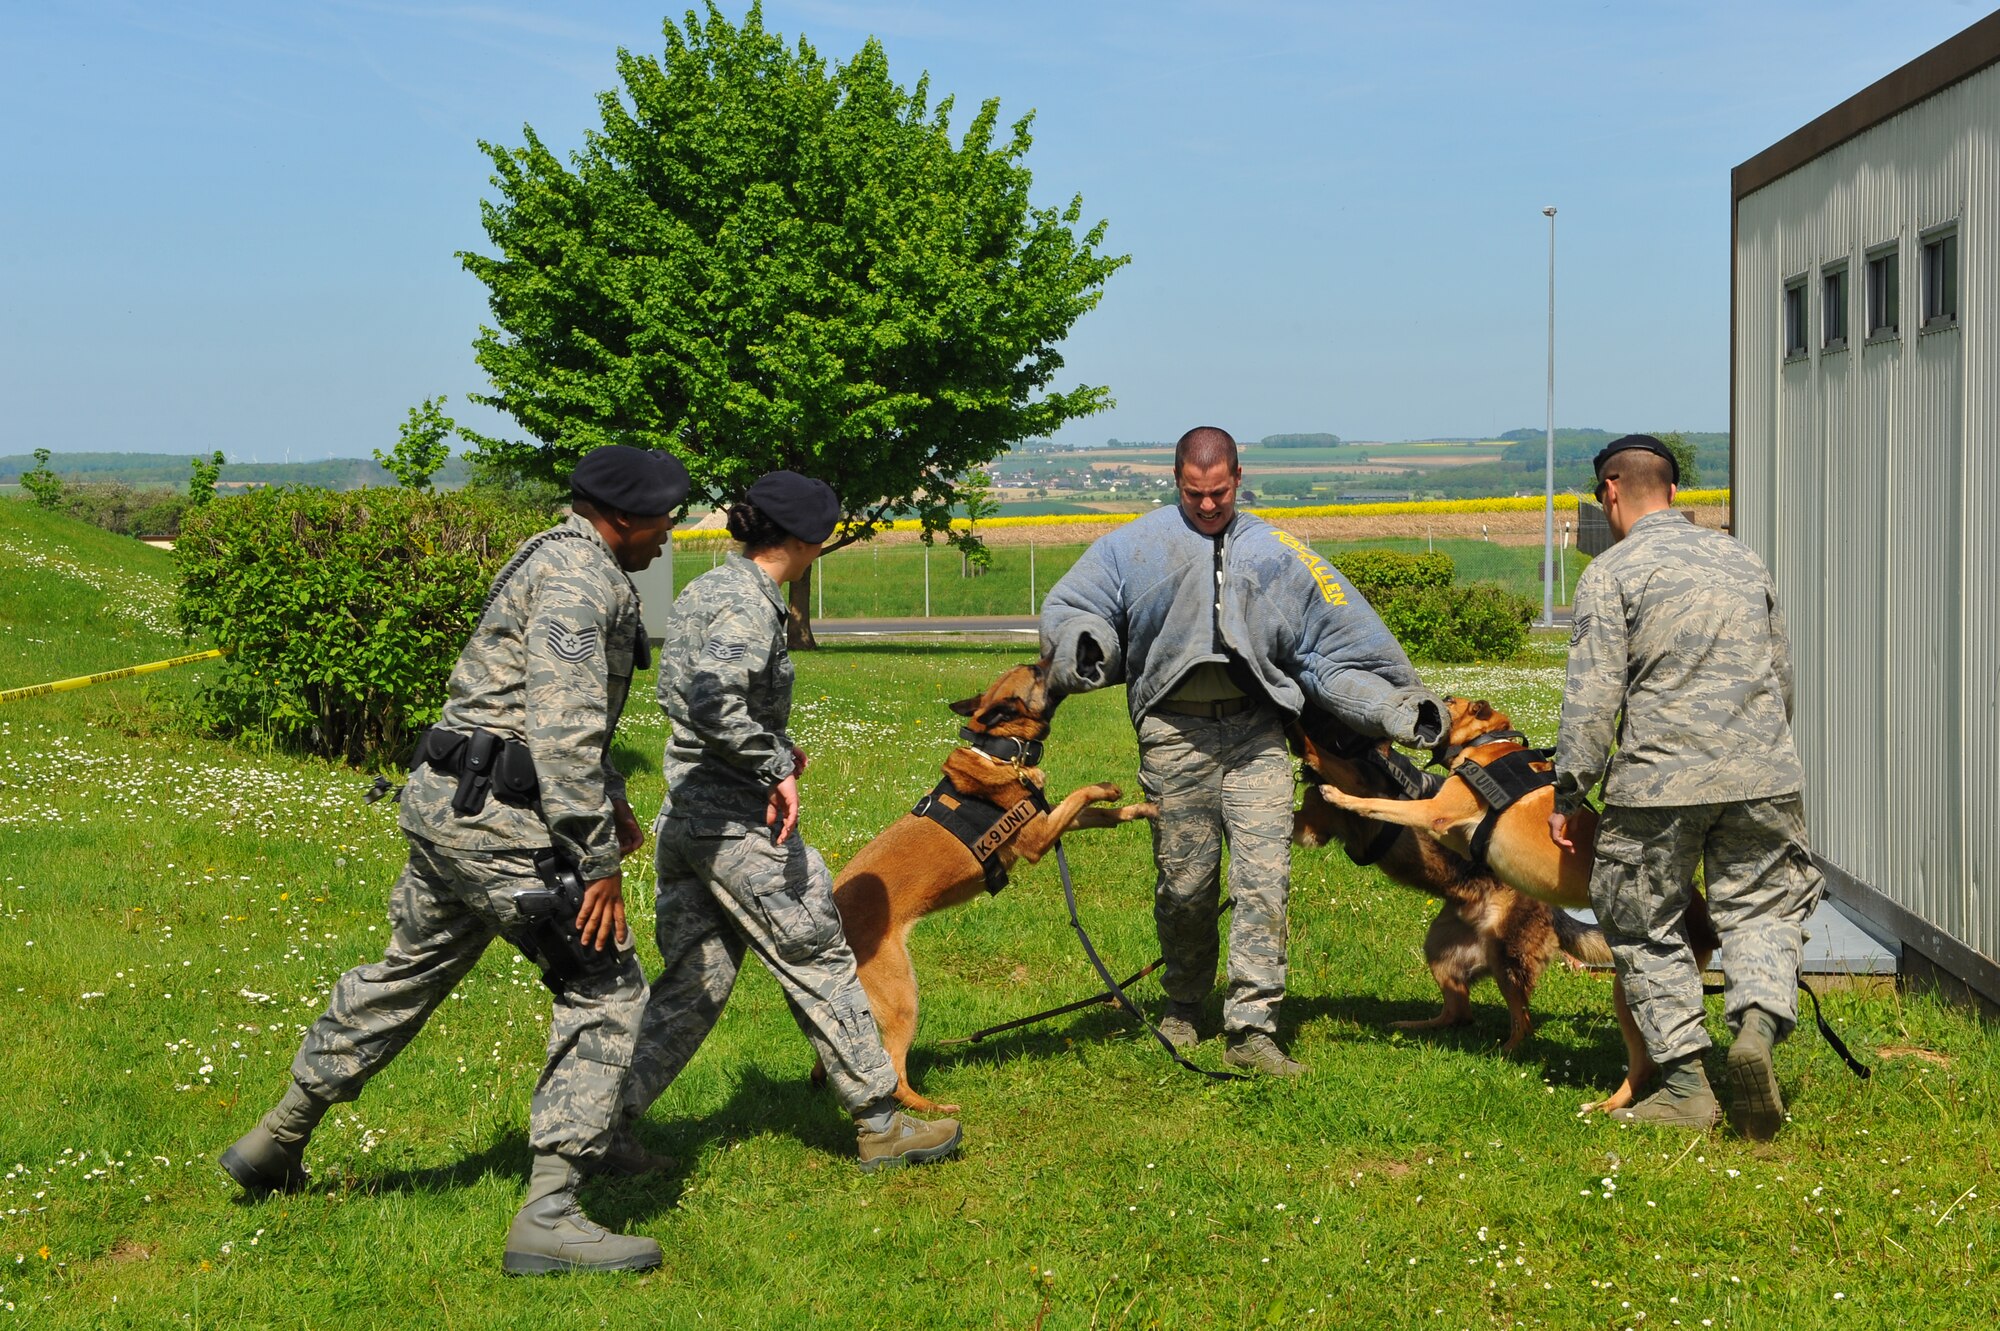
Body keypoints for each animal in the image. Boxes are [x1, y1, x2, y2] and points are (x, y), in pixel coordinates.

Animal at [816, 659, 1160, 1111]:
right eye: (1037, 671)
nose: (1057, 657)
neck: (1002, 754)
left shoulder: (1049, 817)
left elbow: (1101, 814)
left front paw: (1140, 808)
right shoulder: (1039, 836)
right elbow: (1082, 795)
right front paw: (1106, 787)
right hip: (903, 996)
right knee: (894, 1072)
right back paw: (932, 1108)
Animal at [1312, 695, 1720, 1111]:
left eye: (1448, 701)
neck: (1489, 743)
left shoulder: (1433, 813)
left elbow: (1376, 803)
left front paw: (1339, 795)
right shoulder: (1454, 836)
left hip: (1602, 983)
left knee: (1627, 1055)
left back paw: (1597, 1101)